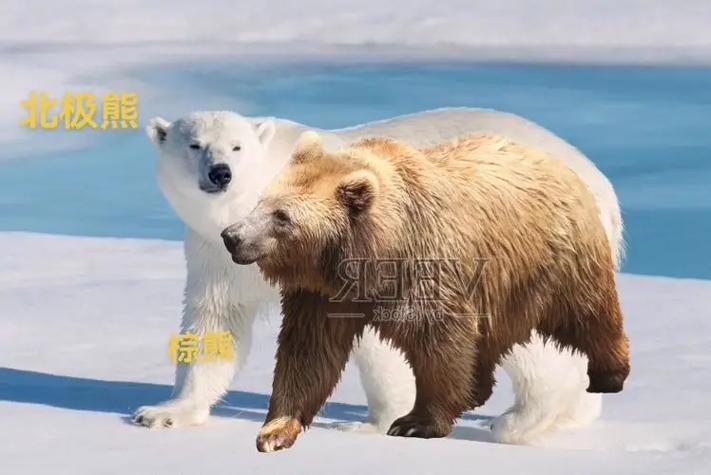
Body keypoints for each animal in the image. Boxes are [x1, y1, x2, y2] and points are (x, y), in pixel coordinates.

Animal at [137, 109, 622, 443]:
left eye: (237, 146)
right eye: (194, 144)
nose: (220, 173)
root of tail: (599, 182)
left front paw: (377, 425)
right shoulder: (218, 252)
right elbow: (216, 323)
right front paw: (164, 412)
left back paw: (519, 421)